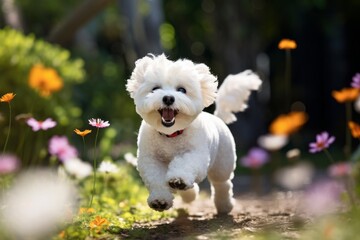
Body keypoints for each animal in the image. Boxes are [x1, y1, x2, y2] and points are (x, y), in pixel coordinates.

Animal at [126, 54, 262, 214]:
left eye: (182, 90)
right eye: (155, 88)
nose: (168, 98)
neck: (171, 135)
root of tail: (218, 118)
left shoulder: (196, 155)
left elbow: (185, 163)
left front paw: (178, 179)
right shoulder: (151, 160)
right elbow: (157, 180)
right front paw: (160, 200)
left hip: (223, 164)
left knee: (222, 184)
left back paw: (224, 205)